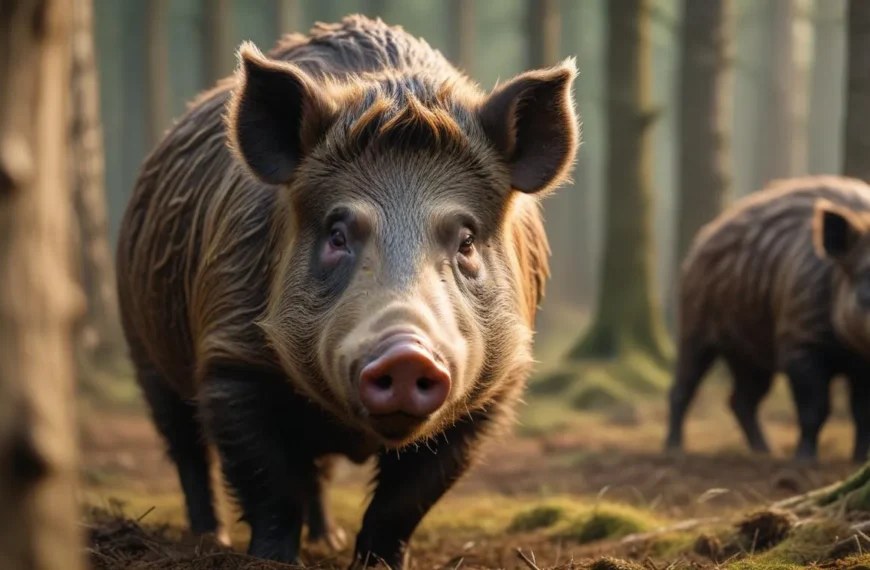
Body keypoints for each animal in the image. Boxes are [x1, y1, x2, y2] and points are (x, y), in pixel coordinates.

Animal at [115, 15, 578, 568]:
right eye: (337, 234)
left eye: (466, 240)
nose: (407, 354)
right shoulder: (230, 358)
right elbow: (268, 484)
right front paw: (274, 559)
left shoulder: (495, 392)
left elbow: (404, 501)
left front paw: (376, 561)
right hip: (144, 346)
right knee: (186, 448)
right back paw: (212, 539)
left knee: (317, 470)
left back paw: (328, 541)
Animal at [664, 175, 870, 464]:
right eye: (865, 273)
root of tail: (704, 235)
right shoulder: (798, 341)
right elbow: (815, 407)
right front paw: (804, 460)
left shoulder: (861, 363)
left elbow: (861, 413)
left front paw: (859, 460)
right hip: (694, 323)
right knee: (684, 385)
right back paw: (673, 448)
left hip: (750, 350)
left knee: (741, 399)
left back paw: (765, 451)